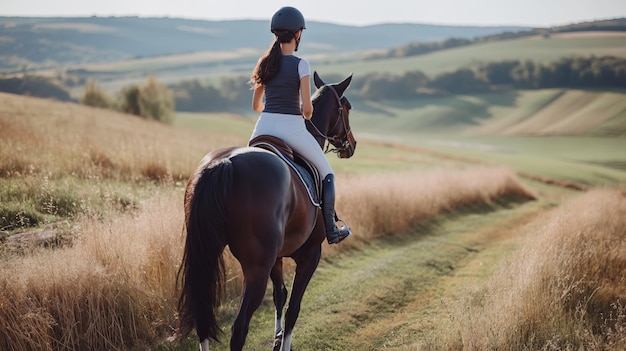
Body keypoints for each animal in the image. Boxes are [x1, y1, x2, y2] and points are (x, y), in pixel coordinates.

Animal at [178, 72, 356, 351]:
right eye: (347, 107)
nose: (352, 145)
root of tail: (224, 163)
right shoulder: (310, 254)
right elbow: (294, 307)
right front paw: (284, 344)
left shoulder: (278, 257)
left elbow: (280, 296)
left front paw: (278, 338)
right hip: (256, 268)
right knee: (239, 328)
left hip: (206, 253)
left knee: (202, 321)